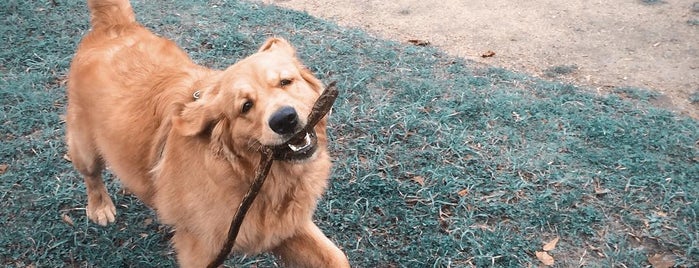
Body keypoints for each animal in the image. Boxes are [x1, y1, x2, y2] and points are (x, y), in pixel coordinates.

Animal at [65, 0, 350, 266]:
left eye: (285, 82)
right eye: (245, 106)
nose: (284, 120)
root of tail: (115, 26)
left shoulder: (286, 226)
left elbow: (338, 257)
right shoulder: (200, 250)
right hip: (85, 148)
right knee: (92, 176)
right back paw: (100, 206)